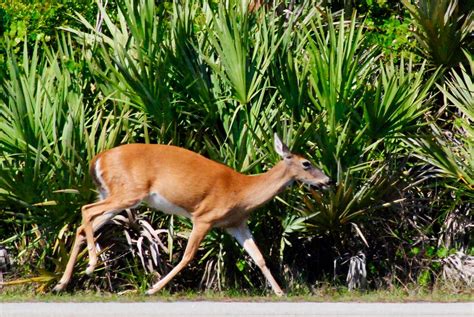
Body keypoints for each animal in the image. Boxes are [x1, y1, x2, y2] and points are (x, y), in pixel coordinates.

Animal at [53, 133, 332, 294]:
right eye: (307, 163)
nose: (328, 181)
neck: (242, 191)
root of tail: (97, 159)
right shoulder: (204, 216)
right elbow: (187, 256)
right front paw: (153, 289)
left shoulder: (236, 223)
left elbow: (259, 257)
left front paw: (280, 292)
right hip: (127, 193)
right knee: (85, 210)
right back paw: (90, 265)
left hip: (116, 197)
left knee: (84, 224)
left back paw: (61, 283)